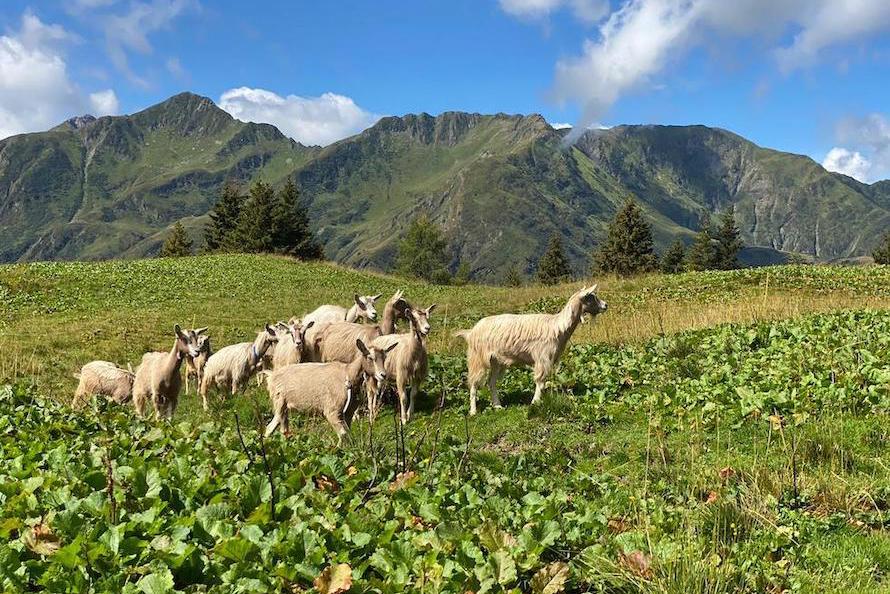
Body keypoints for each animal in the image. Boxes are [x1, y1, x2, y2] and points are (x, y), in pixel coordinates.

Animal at [262, 338, 398, 444]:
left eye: (385, 357)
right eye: (370, 357)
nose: (383, 375)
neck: (348, 374)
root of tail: (271, 376)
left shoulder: (348, 412)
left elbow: (348, 433)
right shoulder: (332, 411)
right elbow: (343, 434)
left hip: (283, 407)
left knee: (277, 428)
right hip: (279, 402)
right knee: (276, 428)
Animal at [454, 284, 608, 414]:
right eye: (591, 297)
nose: (605, 305)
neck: (558, 326)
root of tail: (471, 332)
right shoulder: (542, 358)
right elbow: (540, 381)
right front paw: (535, 402)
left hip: (496, 361)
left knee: (491, 382)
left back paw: (498, 405)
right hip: (477, 359)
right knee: (474, 383)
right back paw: (473, 411)